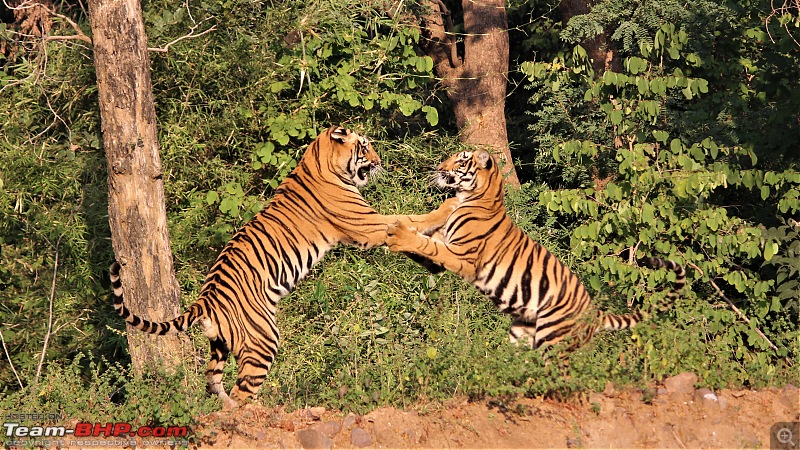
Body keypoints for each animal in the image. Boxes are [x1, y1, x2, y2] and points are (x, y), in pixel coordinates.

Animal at [110, 125, 456, 408]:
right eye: (365, 146)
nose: (380, 160)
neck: (320, 159)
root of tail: (205, 300)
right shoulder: (367, 225)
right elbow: (410, 219)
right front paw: (448, 207)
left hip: (219, 348)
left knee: (214, 385)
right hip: (262, 339)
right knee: (243, 393)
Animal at [384, 149, 684, 354]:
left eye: (461, 160)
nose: (438, 167)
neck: (473, 197)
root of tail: (593, 311)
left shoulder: (462, 257)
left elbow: (427, 245)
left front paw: (397, 233)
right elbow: (424, 239)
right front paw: (396, 228)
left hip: (554, 339)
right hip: (522, 332)